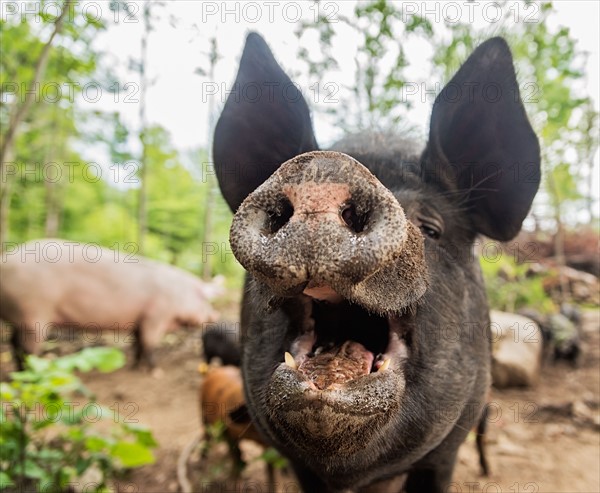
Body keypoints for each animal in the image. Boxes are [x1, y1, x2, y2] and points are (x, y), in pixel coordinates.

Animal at [0, 240, 220, 368]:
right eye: (204, 300)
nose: (215, 315)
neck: (179, 294)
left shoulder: (139, 319)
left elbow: (138, 342)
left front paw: (135, 366)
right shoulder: (156, 316)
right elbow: (149, 343)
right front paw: (155, 370)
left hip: (21, 317)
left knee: (13, 344)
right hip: (33, 315)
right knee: (25, 350)